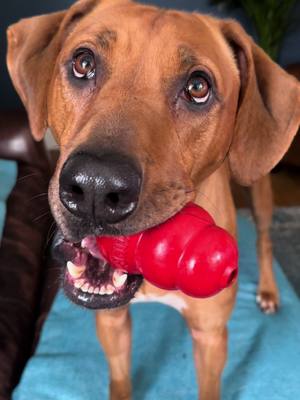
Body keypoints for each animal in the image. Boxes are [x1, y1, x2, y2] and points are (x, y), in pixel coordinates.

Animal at [6, 1, 300, 398]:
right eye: (83, 63)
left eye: (198, 87)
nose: (95, 187)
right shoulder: (111, 320)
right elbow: (120, 379)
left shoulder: (210, 337)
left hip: (259, 182)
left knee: (265, 237)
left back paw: (269, 289)